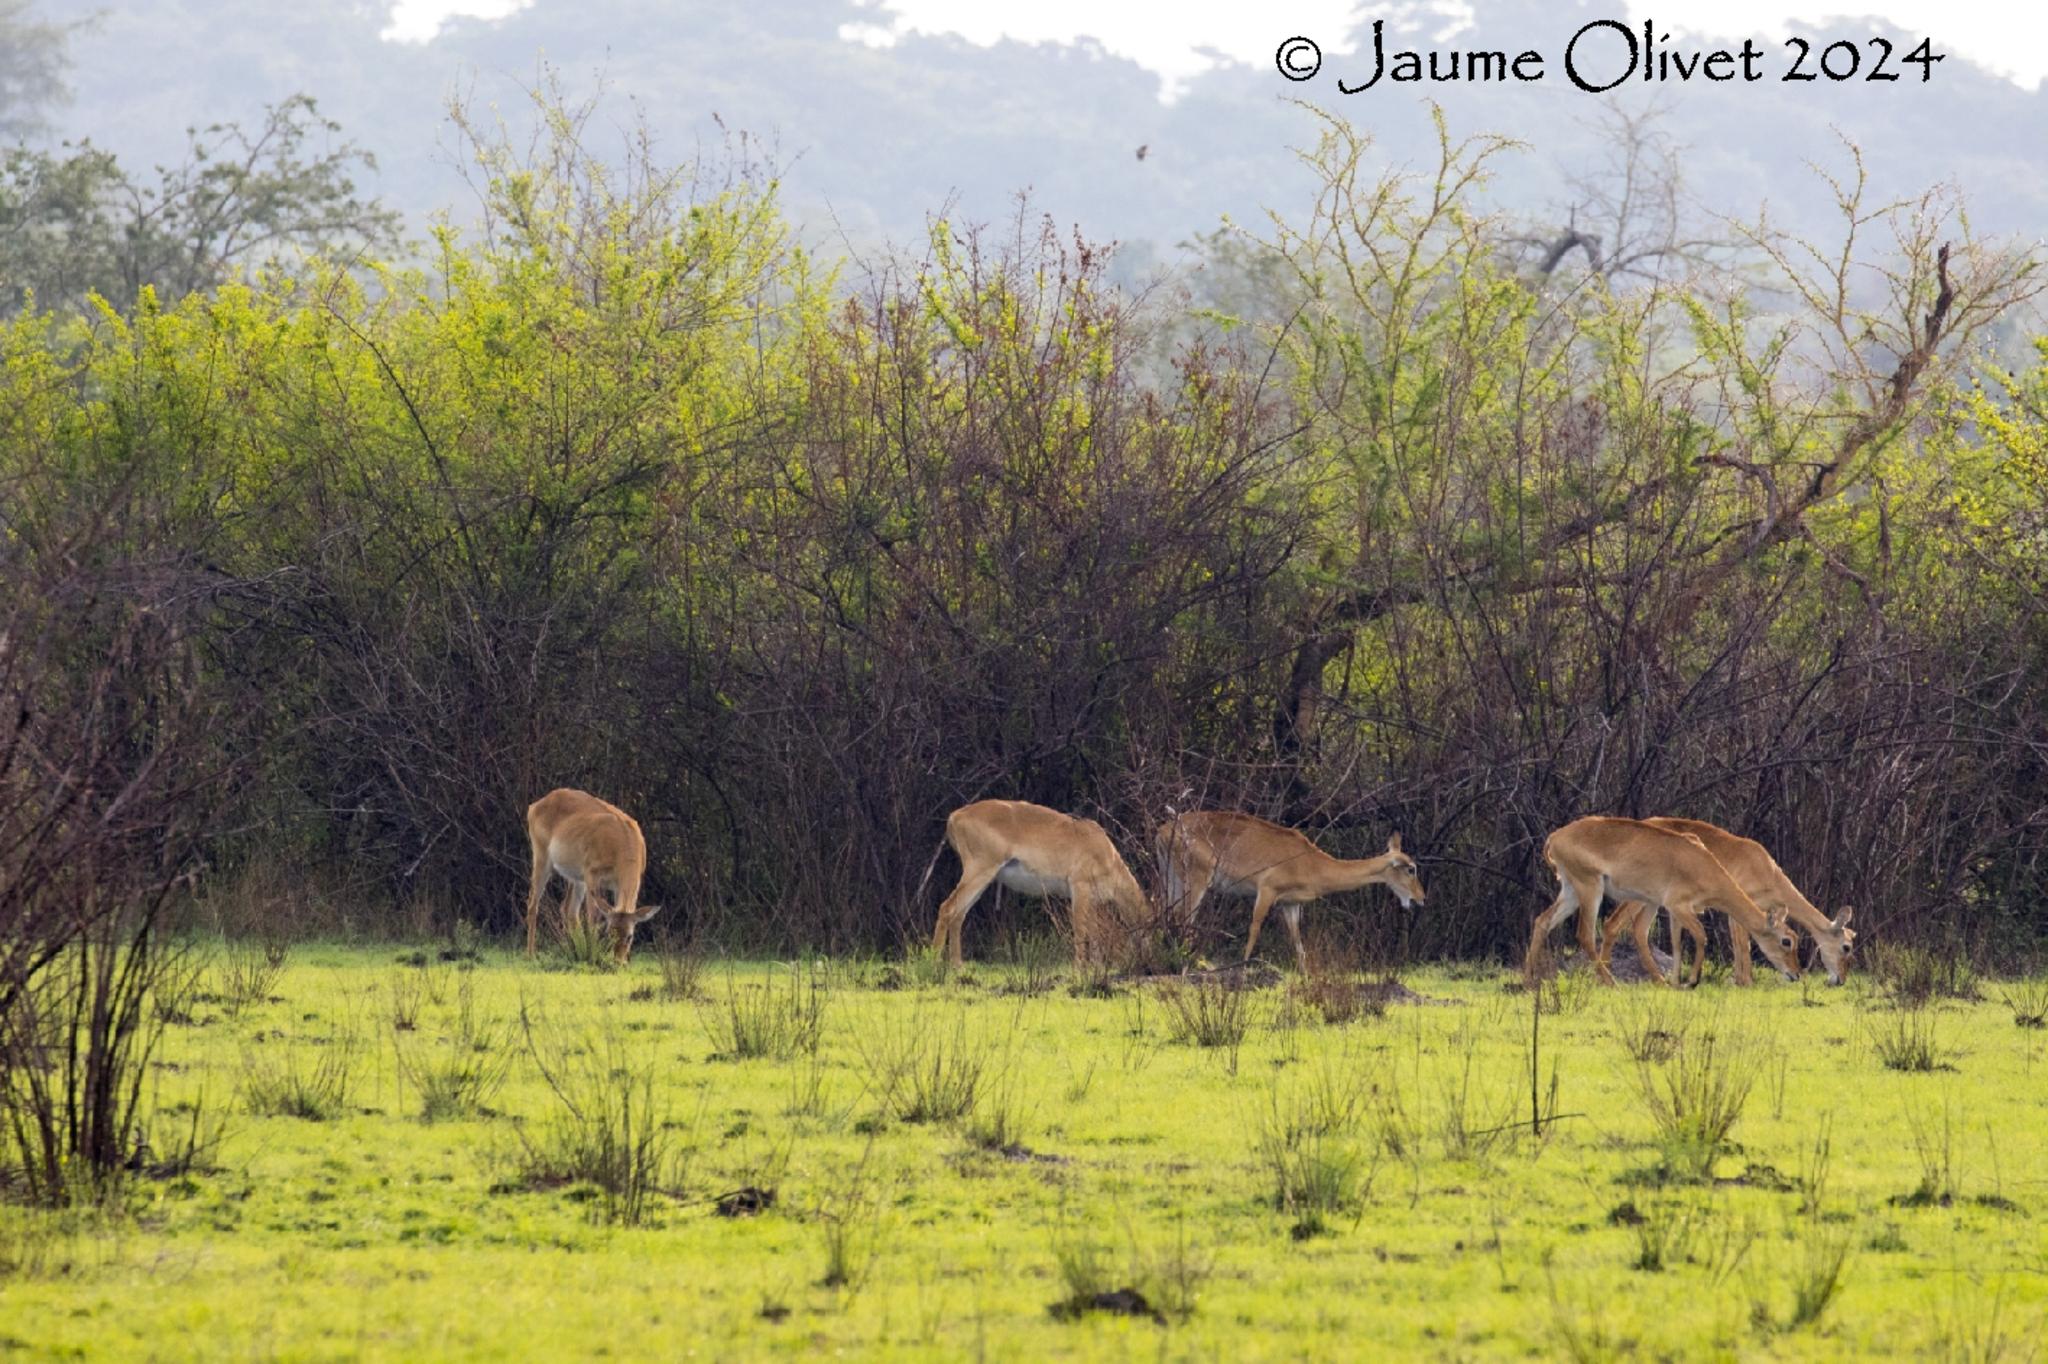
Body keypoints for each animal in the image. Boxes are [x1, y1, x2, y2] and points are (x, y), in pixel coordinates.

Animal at [524, 782, 659, 962]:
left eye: (630, 936)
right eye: (609, 933)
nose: (618, 961)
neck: (621, 846)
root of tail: (534, 806)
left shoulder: (617, 884)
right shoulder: (592, 874)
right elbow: (593, 918)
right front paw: (593, 956)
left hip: (575, 877)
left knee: (568, 909)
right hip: (541, 858)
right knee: (533, 903)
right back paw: (531, 954)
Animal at [929, 798, 1155, 966]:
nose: (1148, 959)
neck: (1107, 855)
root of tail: (956, 816)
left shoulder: (1092, 899)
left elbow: (1094, 933)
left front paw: (1097, 967)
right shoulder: (1079, 888)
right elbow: (1080, 929)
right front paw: (1080, 968)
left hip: (983, 877)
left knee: (959, 914)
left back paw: (957, 966)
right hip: (980, 870)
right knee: (947, 907)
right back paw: (933, 963)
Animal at [1155, 806, 1425, 966]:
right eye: (1411, 868)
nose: (1421, 898)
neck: (1313, 864)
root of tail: (1162, 831)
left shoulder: (1290, 903)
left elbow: (1298, 944)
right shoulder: (1266, 890)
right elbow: (1254, 928)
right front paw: (1243, 965)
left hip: (1172, 878)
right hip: (1196, 879)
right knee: (1185, 918)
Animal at [1523, 811, 1794, 983]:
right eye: (1787, 940)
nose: (1796, 973)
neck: (1703, 863)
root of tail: (1555, 837)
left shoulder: (1670, 909)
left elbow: (1676, 943)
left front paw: (1676, 982)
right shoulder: (1679, 905)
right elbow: (1701, 936)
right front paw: (1691, 981)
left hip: (1571, 891)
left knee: (1542, 921)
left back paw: (1528, 982)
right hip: (1590, 889)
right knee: (1586, 934)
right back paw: (1612, 983)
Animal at [1597, 811, 1859, 983]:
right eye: (1846, 947)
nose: (1840, 980)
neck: (1767, 871)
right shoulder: (1737, 912)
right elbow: (1744, 947)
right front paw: (1745, 983)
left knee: (1637, 929)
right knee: (1613, 924)